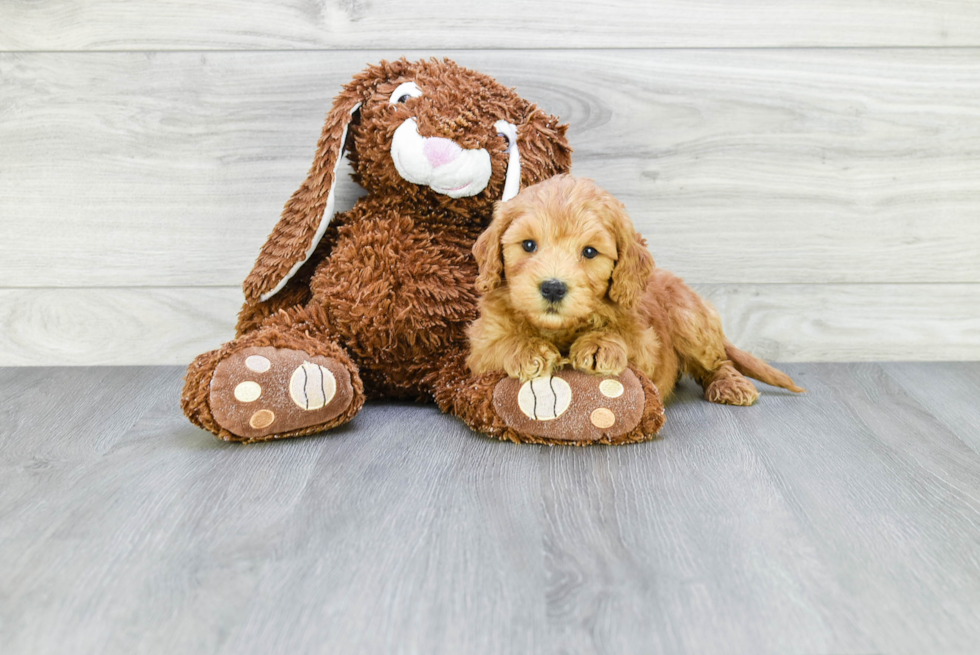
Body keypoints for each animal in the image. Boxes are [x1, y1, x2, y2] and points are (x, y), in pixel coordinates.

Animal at [468, 173, 804, 404]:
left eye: (589, 252)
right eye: (528, 245)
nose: (553, 288)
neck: (561, 329)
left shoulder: (647, 345)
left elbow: (626, 336)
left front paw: (601, 344)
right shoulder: (479, 347)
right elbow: (498, 343)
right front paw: (526, 348)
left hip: (689, 318)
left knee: (718, 361)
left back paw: (730, 384)